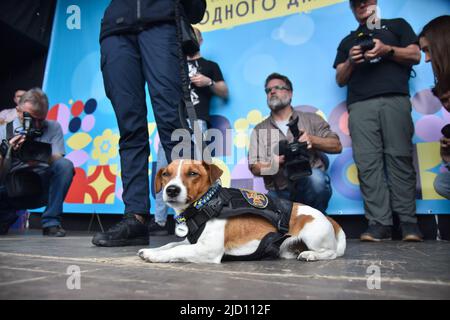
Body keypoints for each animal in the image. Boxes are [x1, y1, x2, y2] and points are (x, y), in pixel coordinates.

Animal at [139, 159, 346, 262]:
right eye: (166, 174)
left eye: (193, 173)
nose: (171, 190)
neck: (205, 204)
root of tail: (329, 219)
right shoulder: (192, 242)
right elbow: (172, 244)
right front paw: (153, 250)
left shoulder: (209, 249)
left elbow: (178, 250)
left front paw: (155, 256)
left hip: (314, 236)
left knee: (331, 253)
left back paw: (311, 255)